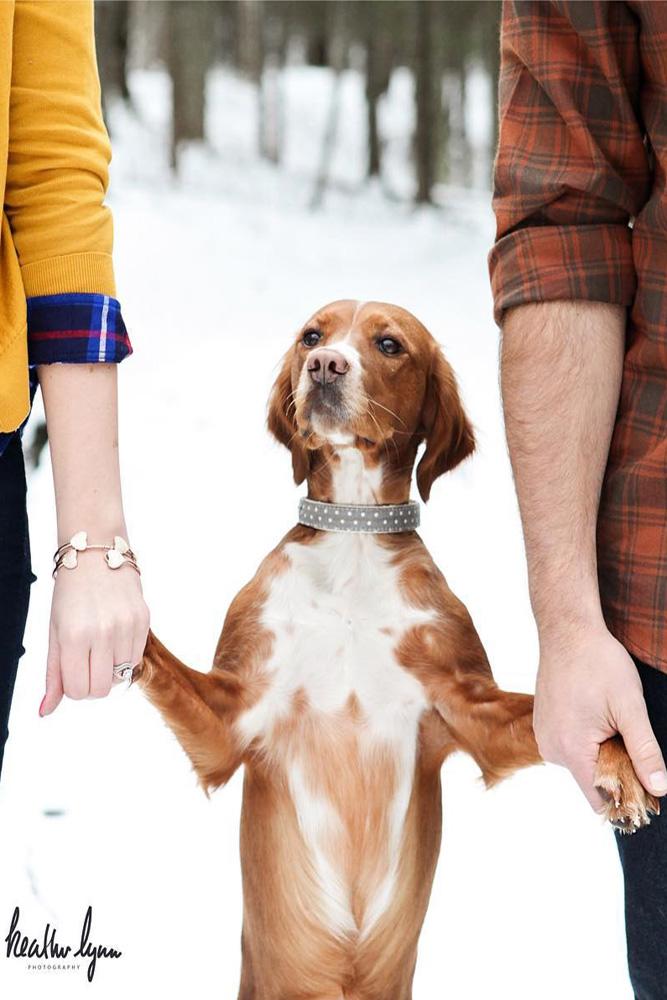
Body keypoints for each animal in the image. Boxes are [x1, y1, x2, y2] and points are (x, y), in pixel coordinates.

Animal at [136, 298, 656, 1000]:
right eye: (311, 337)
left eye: (388, 344)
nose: (326, 365)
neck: (355, 535)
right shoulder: (232, 718)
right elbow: (151, 650)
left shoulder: (470, 709)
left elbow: (581, 717)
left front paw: (622, 772)